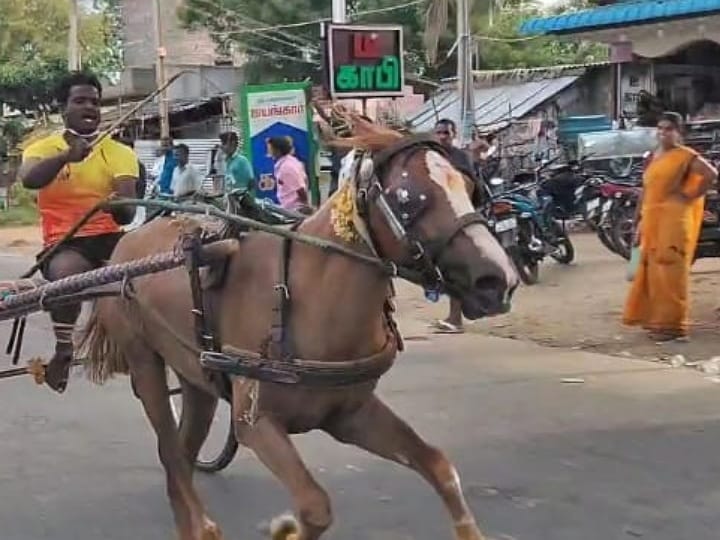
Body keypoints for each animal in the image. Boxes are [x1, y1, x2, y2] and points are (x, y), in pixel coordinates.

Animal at [80, 119, 516, 540]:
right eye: (410, 199)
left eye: (471, 188)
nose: (498, 280)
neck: (308, 294)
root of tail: (125, 246)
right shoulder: (255, 423)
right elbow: (315, 506)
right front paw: (284, 528)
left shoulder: (351, 415)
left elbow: (439, 466)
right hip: (144, 361)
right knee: (170, 451)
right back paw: (203, 527)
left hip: (195, 377)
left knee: (181, 457)